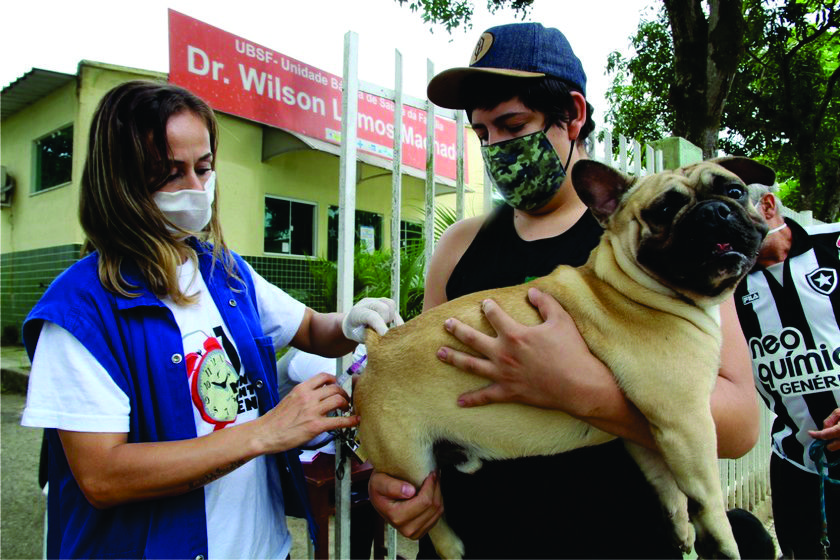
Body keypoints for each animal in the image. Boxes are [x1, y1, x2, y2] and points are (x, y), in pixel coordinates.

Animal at [352, 155, 772, 556]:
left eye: (735, 191)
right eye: (664, 210)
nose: (715, 210)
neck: (630, 287)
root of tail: (378, 348)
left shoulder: (648, 430)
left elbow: (665, 481)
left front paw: (681, 526)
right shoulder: (688, 422)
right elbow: (709, 498)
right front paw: (724, 544)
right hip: (409, 464)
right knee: (428, 512)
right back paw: (453, 547)